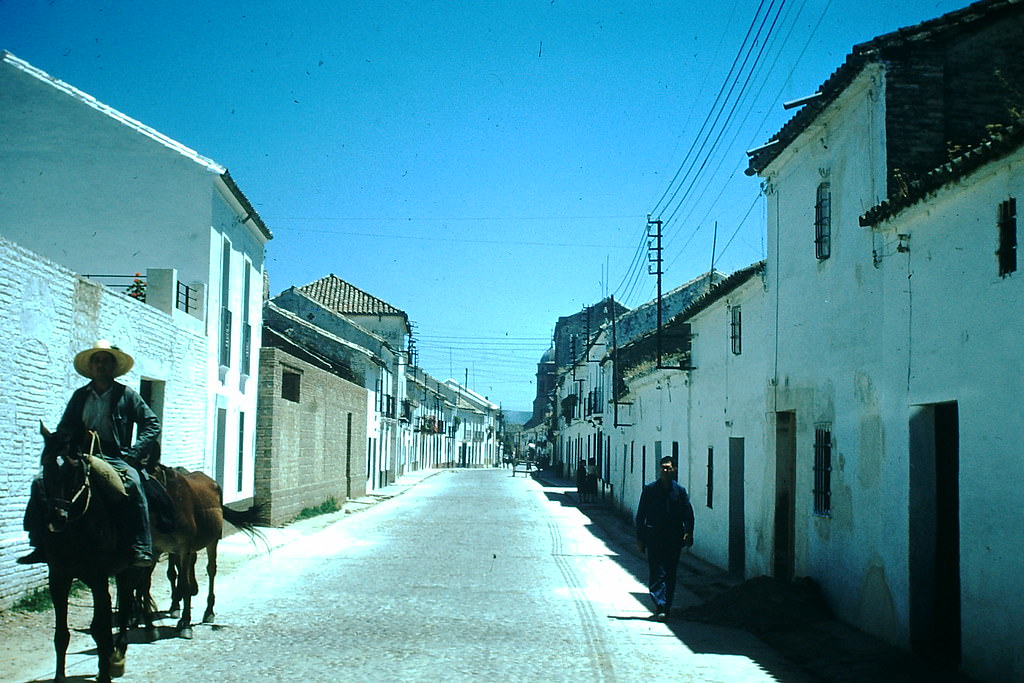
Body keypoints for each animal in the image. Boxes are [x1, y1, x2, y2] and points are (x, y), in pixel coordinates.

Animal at [34, 423, 147, 679]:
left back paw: (117, 658)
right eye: (46, 466)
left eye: (74, 470)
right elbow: (61, 634)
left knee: (125, 608)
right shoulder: (59, 578)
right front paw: (59, 678)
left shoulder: (98, 579)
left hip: (129, 571)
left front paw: (106, 671)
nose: (57, 517)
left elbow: (101, 629)